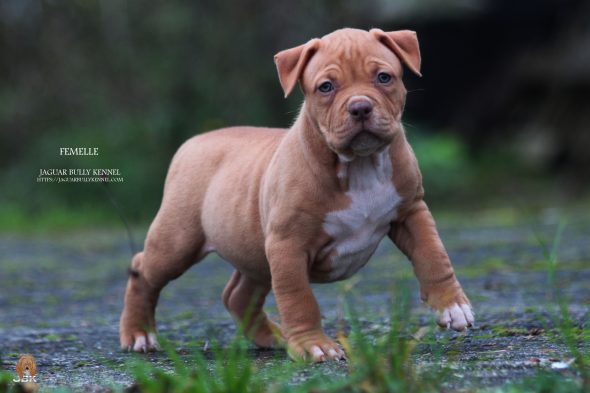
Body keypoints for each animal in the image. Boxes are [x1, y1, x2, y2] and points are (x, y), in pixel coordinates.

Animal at [120, 27, 476, 362]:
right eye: (326, 87)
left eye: (384, 77)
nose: (360, 107)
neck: (358, 165)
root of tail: (194, 141)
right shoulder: (287, 245)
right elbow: (298, 298)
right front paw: (313, 346)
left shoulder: (411, 211)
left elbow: (433, 255)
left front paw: (452, 305)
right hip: (178, 240)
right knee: (143, 269)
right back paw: (138, 334)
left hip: (254, 251)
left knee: (237, 294)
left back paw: (272, 337)